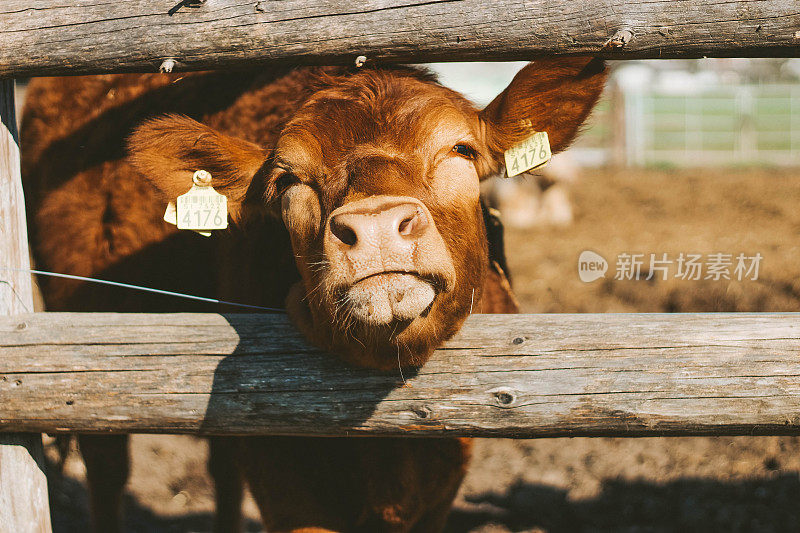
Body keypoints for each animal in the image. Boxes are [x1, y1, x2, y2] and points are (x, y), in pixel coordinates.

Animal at [21, 59, 604, 532]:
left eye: (461, 149)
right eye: (287, 181)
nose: (374, 225)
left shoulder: (441, 483)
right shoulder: (285, 479)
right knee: (107, 466)